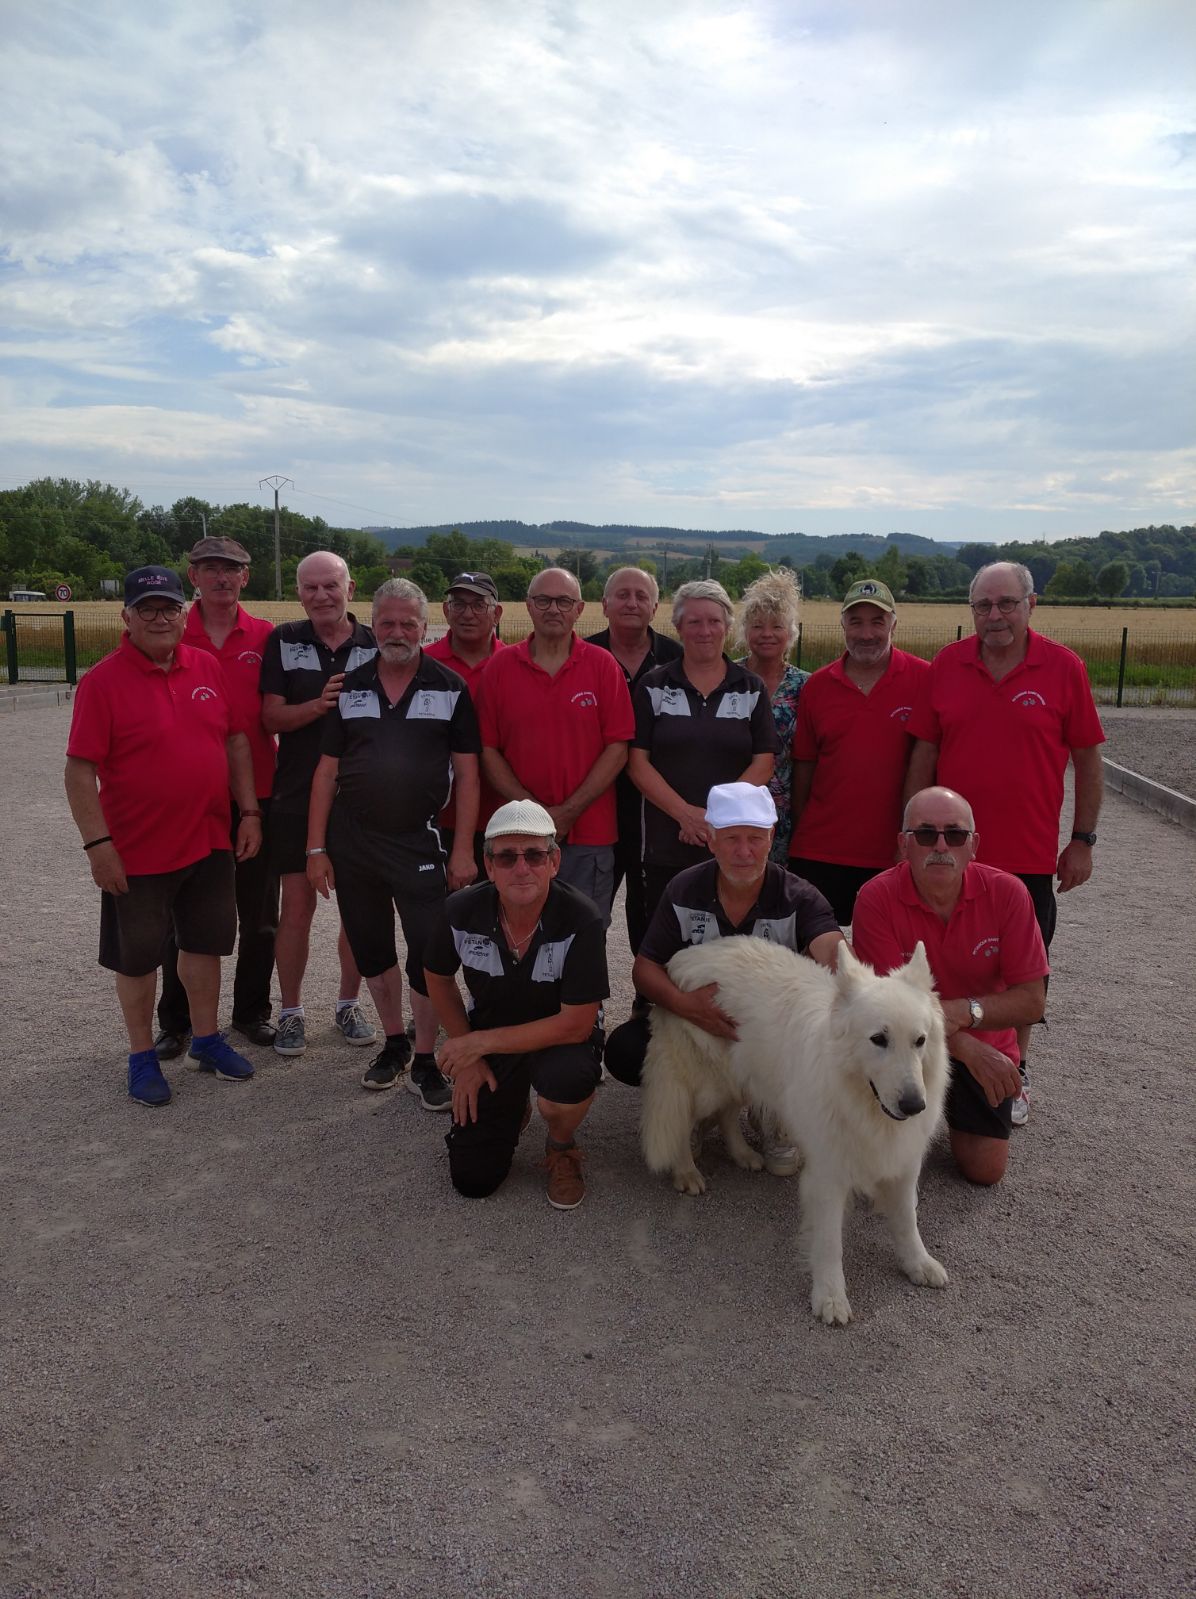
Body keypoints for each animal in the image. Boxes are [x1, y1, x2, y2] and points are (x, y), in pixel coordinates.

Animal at [645, 933, 952, 1323]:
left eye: (920, 1041)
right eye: (879, 1039)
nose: (914, 1106)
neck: (859, 1099)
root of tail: (687, 954)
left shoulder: (903, 1163)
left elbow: (907, 1221)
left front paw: (918, 1264)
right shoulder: (828, 1177)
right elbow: (830, 1243)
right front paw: (830, 1296)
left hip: (745, 1075)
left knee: (728, 1114)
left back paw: (744, 1154)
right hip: (706, 1084)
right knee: (686, 1119)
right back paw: (686, 1170)